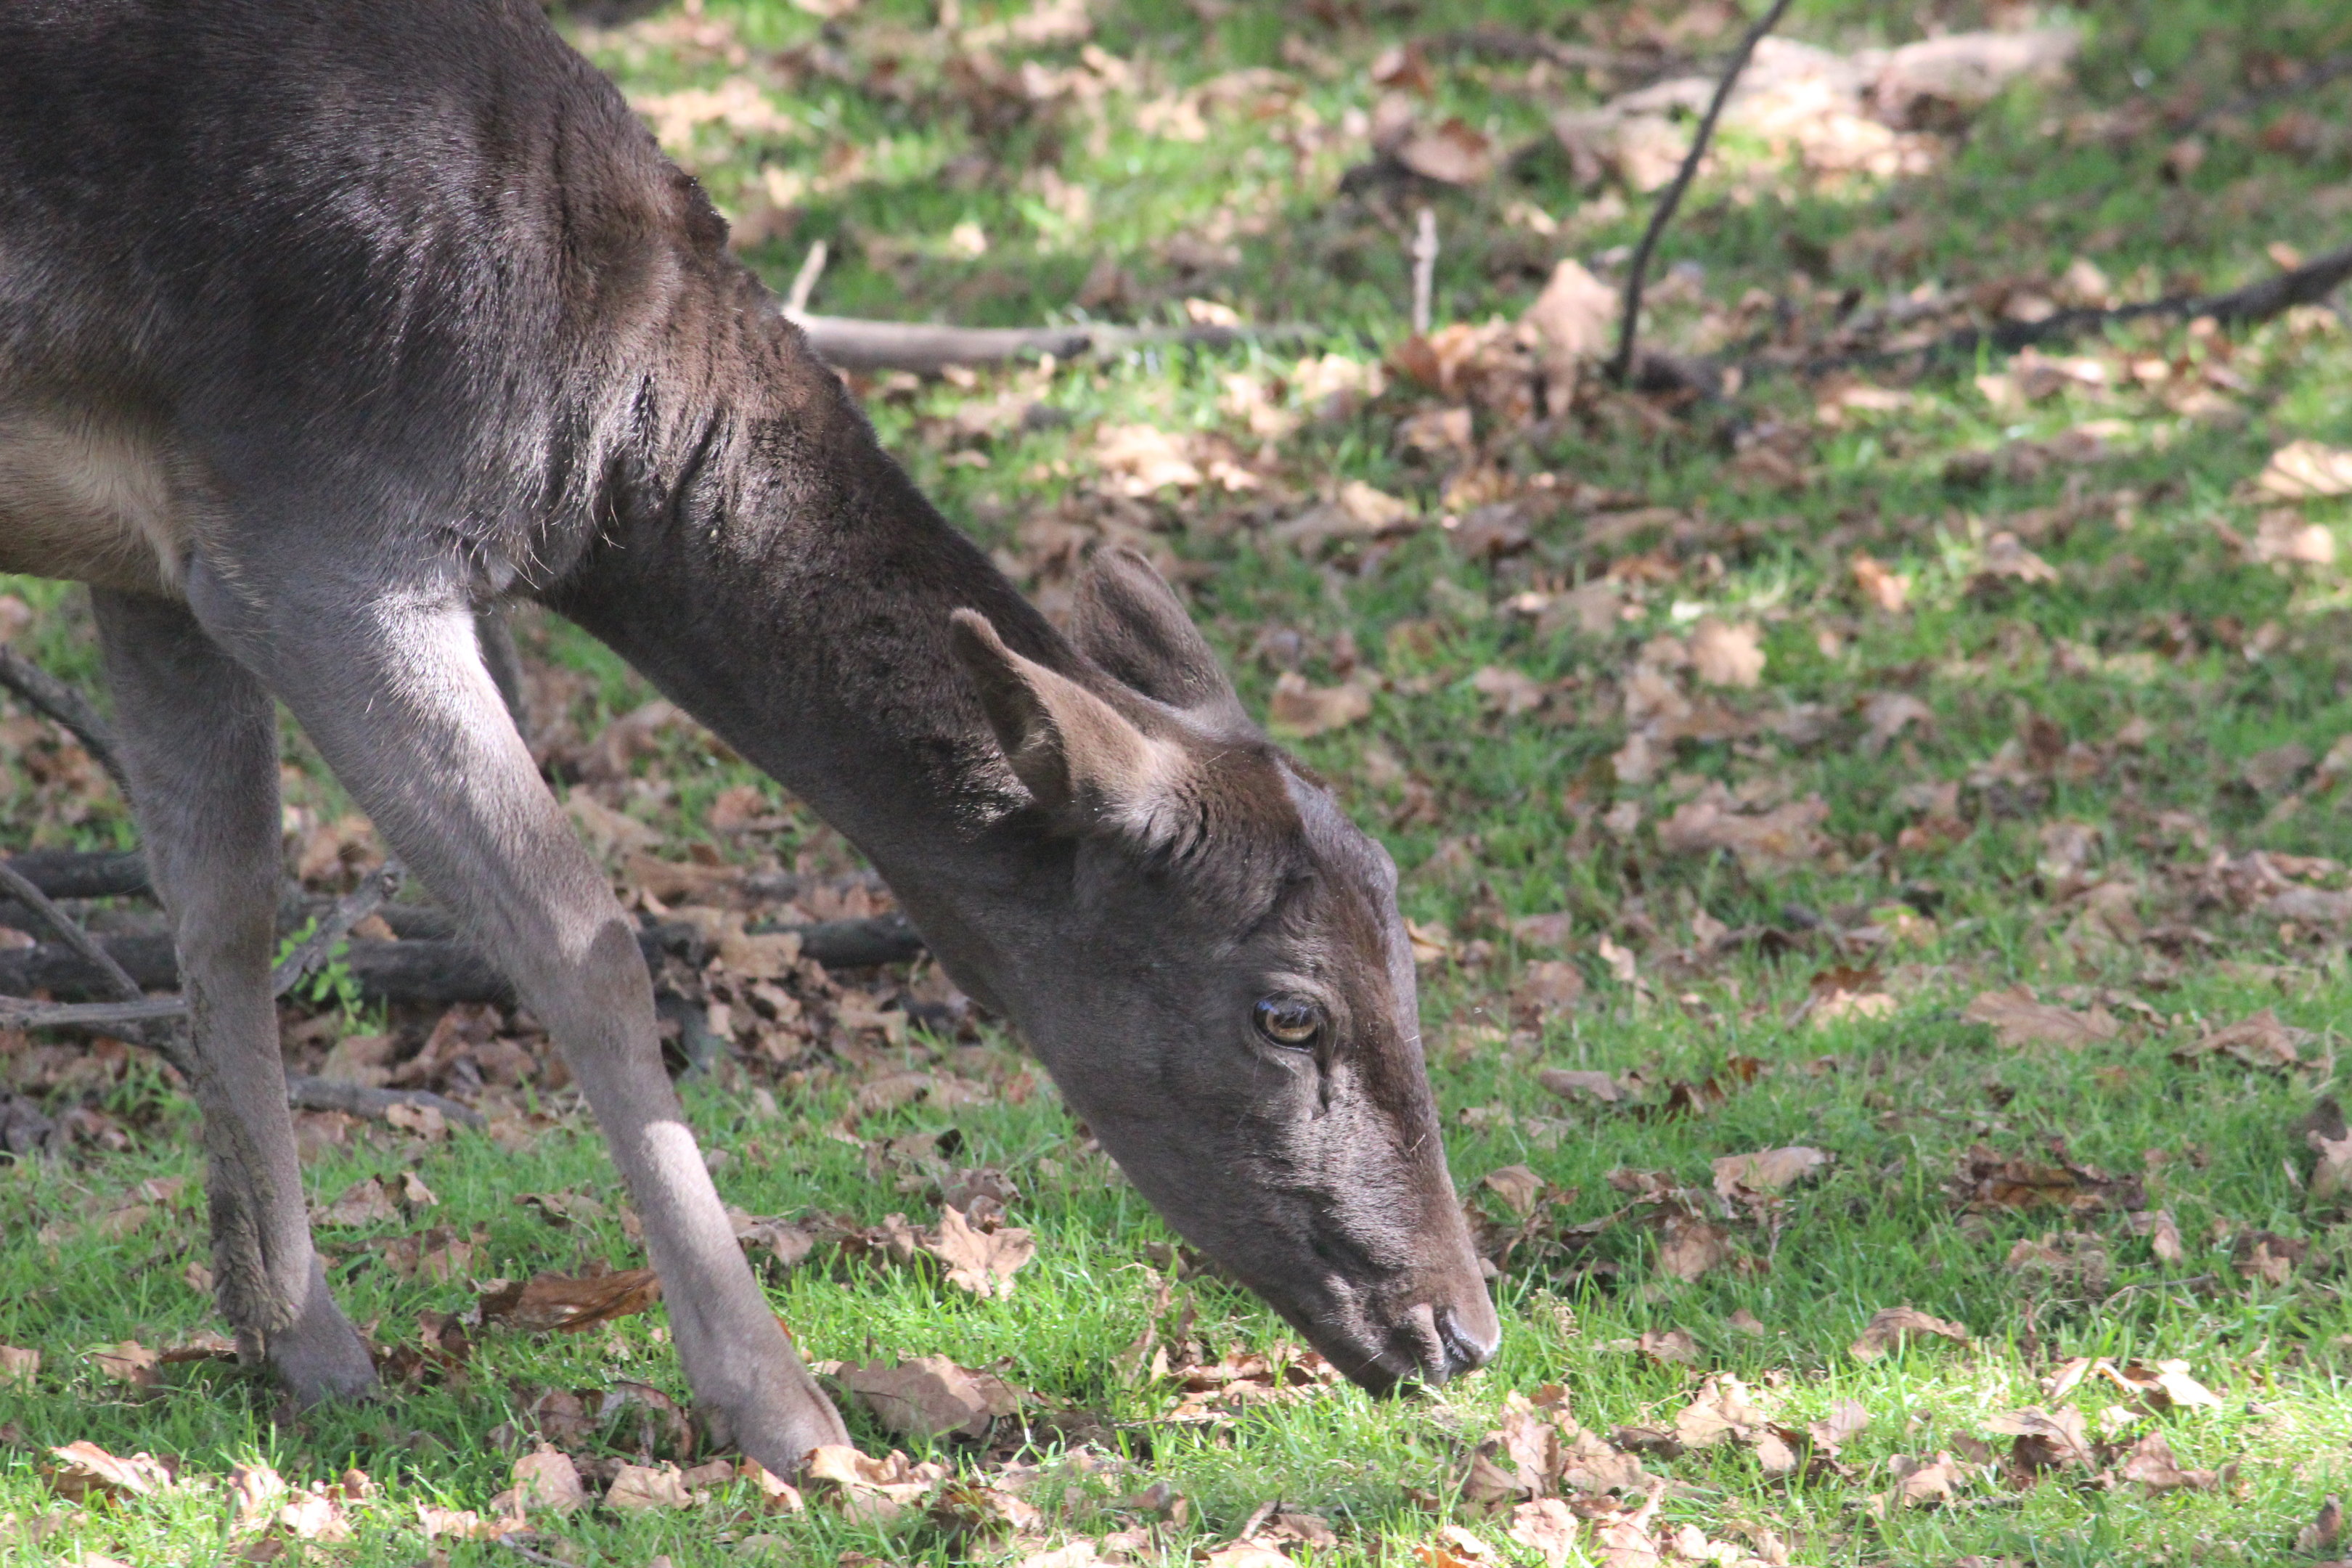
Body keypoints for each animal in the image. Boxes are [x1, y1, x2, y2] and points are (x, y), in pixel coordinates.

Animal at [0, 0, 1499, 1474]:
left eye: (1408, 959)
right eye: (1288, 1011)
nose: (1462, 1329)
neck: (584, 435)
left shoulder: (167, 560)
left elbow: (224, 907)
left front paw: (296, 1344)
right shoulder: (317, 543)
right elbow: (582, 941)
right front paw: (782, 1409)